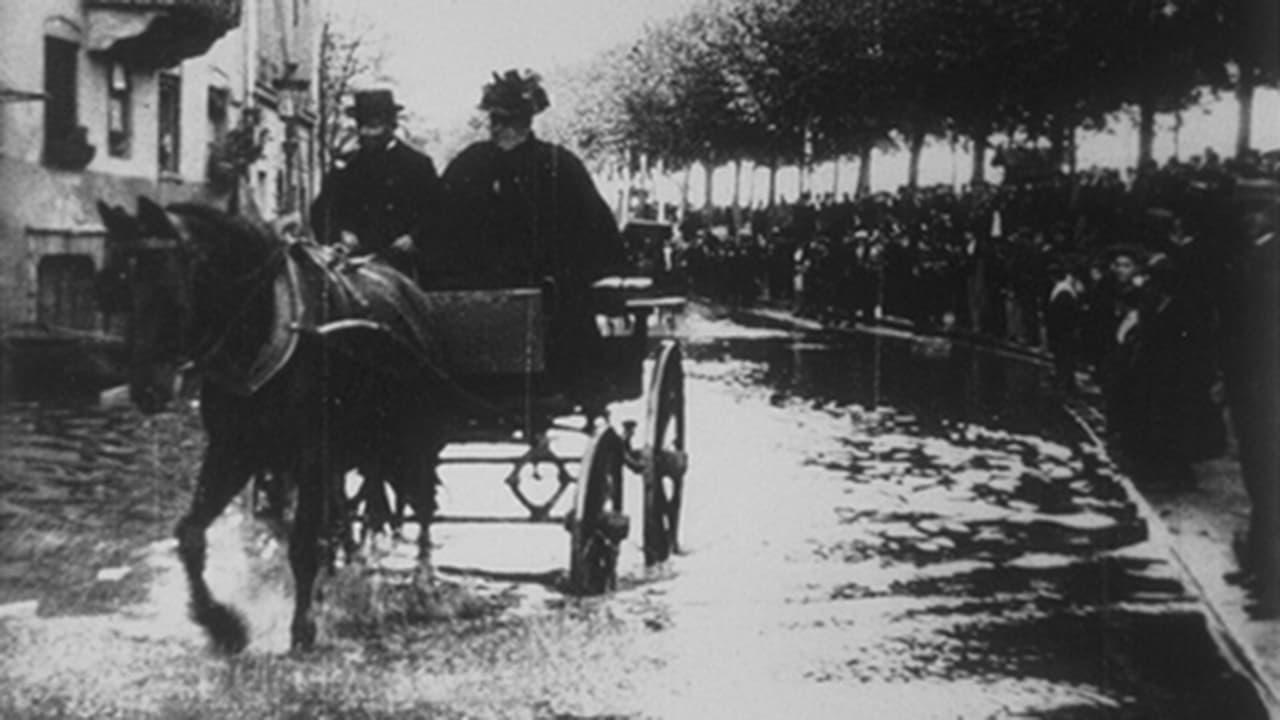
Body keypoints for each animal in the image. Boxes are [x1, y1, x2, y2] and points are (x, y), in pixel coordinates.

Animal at [97, 196, 455, 650]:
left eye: (168, 291)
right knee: (354, 513)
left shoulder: (312, 453)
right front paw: (222, 623)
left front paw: (303, 626)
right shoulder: (234, 447)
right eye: (118, 290)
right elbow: (191, 534)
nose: (146, 389)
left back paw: (423, 583)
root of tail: (411, 290)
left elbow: (302, 545)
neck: (270, 330)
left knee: (424, 502)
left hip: (414, 438)